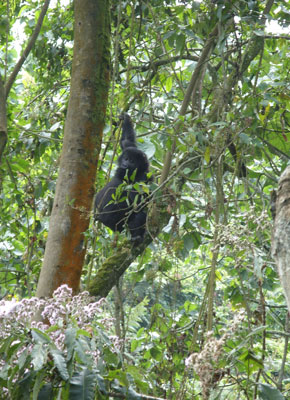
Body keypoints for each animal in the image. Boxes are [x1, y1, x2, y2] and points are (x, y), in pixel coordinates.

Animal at [94, 114, 151, 242]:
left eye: (132, 161)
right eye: (126, 158)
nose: (125, 164)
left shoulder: (143, 177)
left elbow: (138, 202)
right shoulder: (129, 148)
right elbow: (126, 141)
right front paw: (125, 118)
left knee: (140, 214)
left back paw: (136, 237)